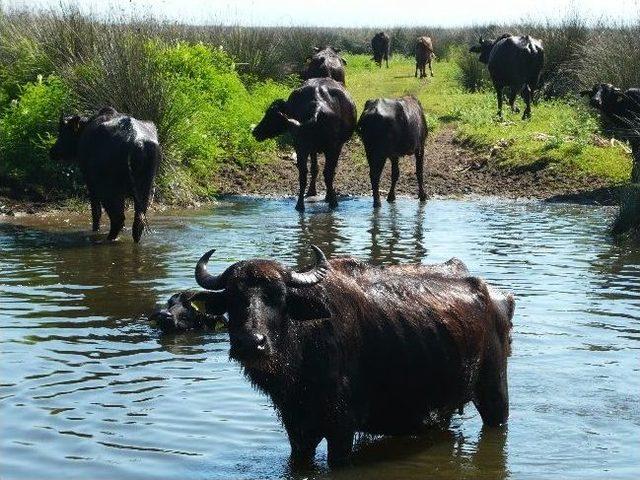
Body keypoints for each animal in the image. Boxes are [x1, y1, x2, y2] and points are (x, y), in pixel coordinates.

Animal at [154, 248, 516, 468]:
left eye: (278, 297)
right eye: (233, 298)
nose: (250, 343)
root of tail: (496, 295)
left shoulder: (341, 430)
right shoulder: (298, 431)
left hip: (494, 392)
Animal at [252, 78, 358, 210]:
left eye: (269, 115)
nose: (255, 131)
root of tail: (317, 105)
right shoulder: (314, 148)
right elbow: (316, 169)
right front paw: (316, 193)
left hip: (315, 146)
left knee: (315, 173)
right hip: (321, 147)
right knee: (321, 173)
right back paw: (321, 202)